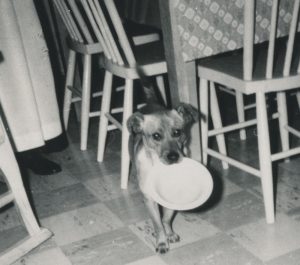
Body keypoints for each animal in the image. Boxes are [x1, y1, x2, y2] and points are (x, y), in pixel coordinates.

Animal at [127, 71, 199, 253]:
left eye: (177, 132)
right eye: (156, 136)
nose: (173, 157)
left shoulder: (172, 196)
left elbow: (166, 218)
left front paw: (170, 234)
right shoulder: (149, 199)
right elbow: (158, 223)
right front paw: (161, 241)